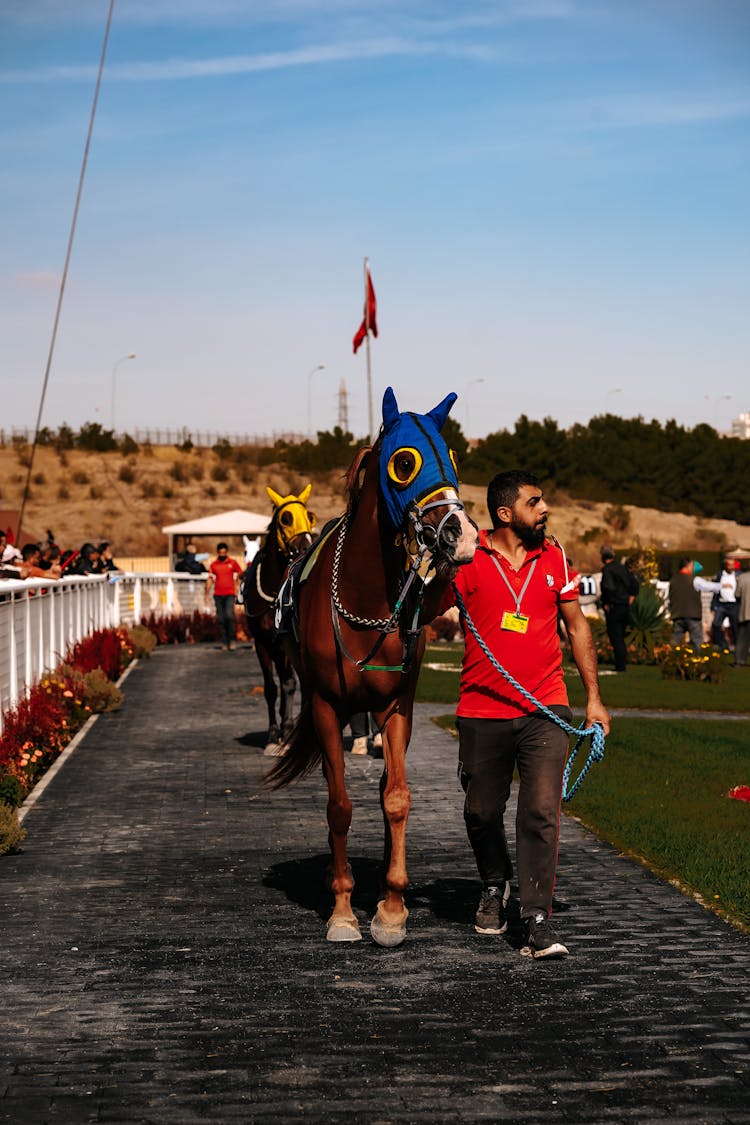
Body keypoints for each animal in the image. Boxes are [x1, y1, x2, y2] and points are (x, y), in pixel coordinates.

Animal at [245, 488, 314, 751]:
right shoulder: (261, 642)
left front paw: (287, 728)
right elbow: (271, 688)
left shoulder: (285, 644)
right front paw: (274, 733)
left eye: (309, 515)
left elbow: (289, 684)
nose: (306, 547)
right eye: (285, 518)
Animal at [269, 391, 479, 945]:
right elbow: (339, 805)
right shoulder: (326, 705)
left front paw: (391, 907)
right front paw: (343, 910)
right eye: (404, 462)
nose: (463, 535)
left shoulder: (397, 706)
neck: (364, 601)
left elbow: (397, 798)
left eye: (453, 457)